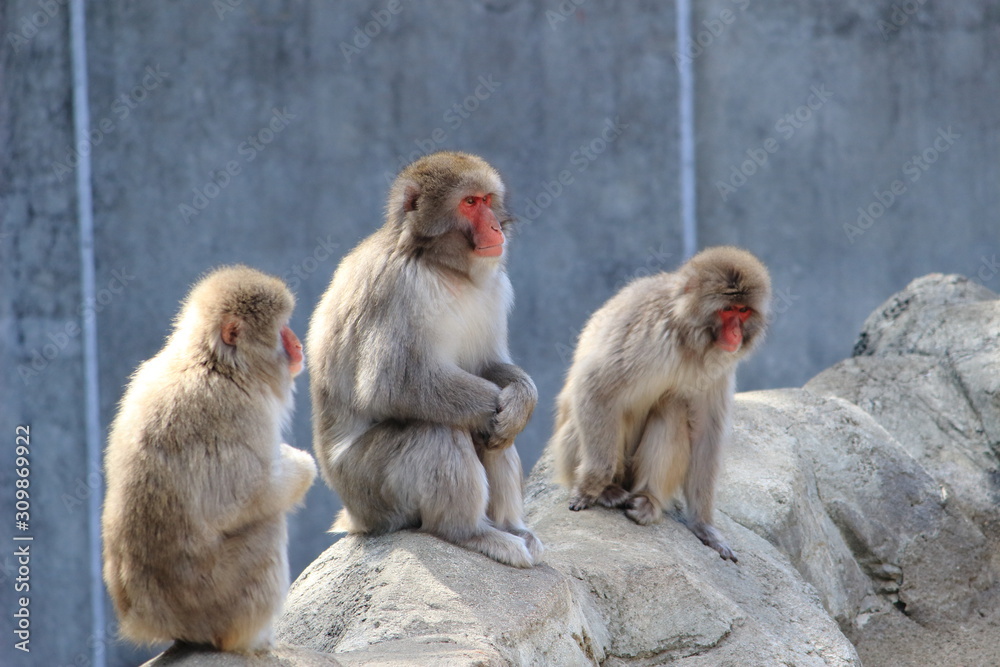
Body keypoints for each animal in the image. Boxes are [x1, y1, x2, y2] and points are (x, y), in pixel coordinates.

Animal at [101, 264, 316, 652]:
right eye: (281, 329)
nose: (297, 345)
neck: (216, 363)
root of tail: (151, 619)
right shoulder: (242, 410)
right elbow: (250, 496)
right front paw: (302, 463)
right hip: (217, 602)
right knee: (268, 524)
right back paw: (249, 640)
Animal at [310, 151, 548, 568]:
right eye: (469, 203)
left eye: (487, 200)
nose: (494, 227)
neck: (439, 265)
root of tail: (355, 518)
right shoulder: (397, 288)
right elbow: (392, 386)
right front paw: (494, 408)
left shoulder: (495, 288)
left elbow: (485, 367)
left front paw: (521, 401)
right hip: (370, 490)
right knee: (435, 429)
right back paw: (470, 532)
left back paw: (510, 527)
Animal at [548, 248, 772, 560]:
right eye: (728, 310)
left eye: (744, 311)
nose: (736, 335)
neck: (688, 337)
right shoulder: (648, 332)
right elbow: (595, 388)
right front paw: (591, 487)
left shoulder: (718, 369)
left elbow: (706, 434)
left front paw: (704, 525)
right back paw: (608, 489)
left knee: (672, 407)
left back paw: (648, 498)